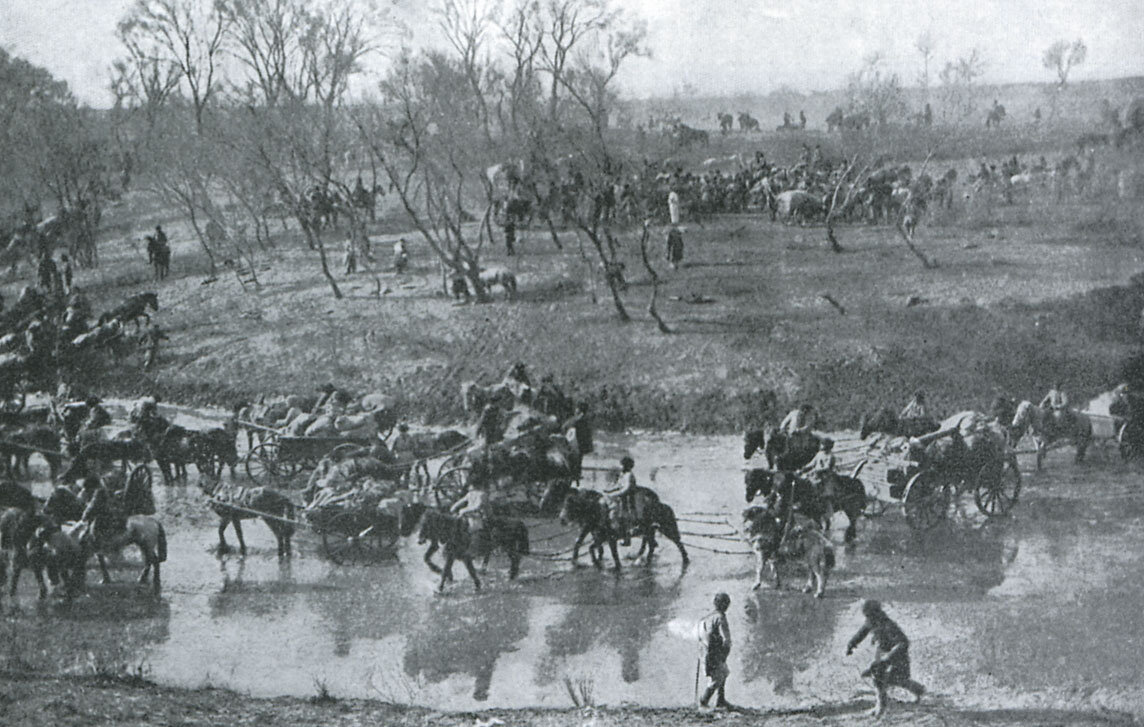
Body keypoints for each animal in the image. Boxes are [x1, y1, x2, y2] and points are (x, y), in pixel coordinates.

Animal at [400, 503, 528, 595]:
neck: (453, 530)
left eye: (425, 524)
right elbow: (467, 570)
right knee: (514, 558)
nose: (419, 540)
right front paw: (477, 585)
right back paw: (510, 574)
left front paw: (439, 589)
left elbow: (447, 571)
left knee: (515, 558)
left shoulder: (456, 556)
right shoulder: (458, 557)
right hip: (506, 547)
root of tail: (517, 521)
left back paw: (511, 575)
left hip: (507, 547)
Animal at [555, 490, 686, 567]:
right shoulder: (598, 535)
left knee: (677, 542)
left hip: (666, 529)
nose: (561, 519)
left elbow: (612, 553)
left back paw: (685, 559)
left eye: (570, 505)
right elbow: (590, 546)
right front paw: (595, 560)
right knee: (651, 545)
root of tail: (663, 505)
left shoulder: (609, 537)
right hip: (650, 531)